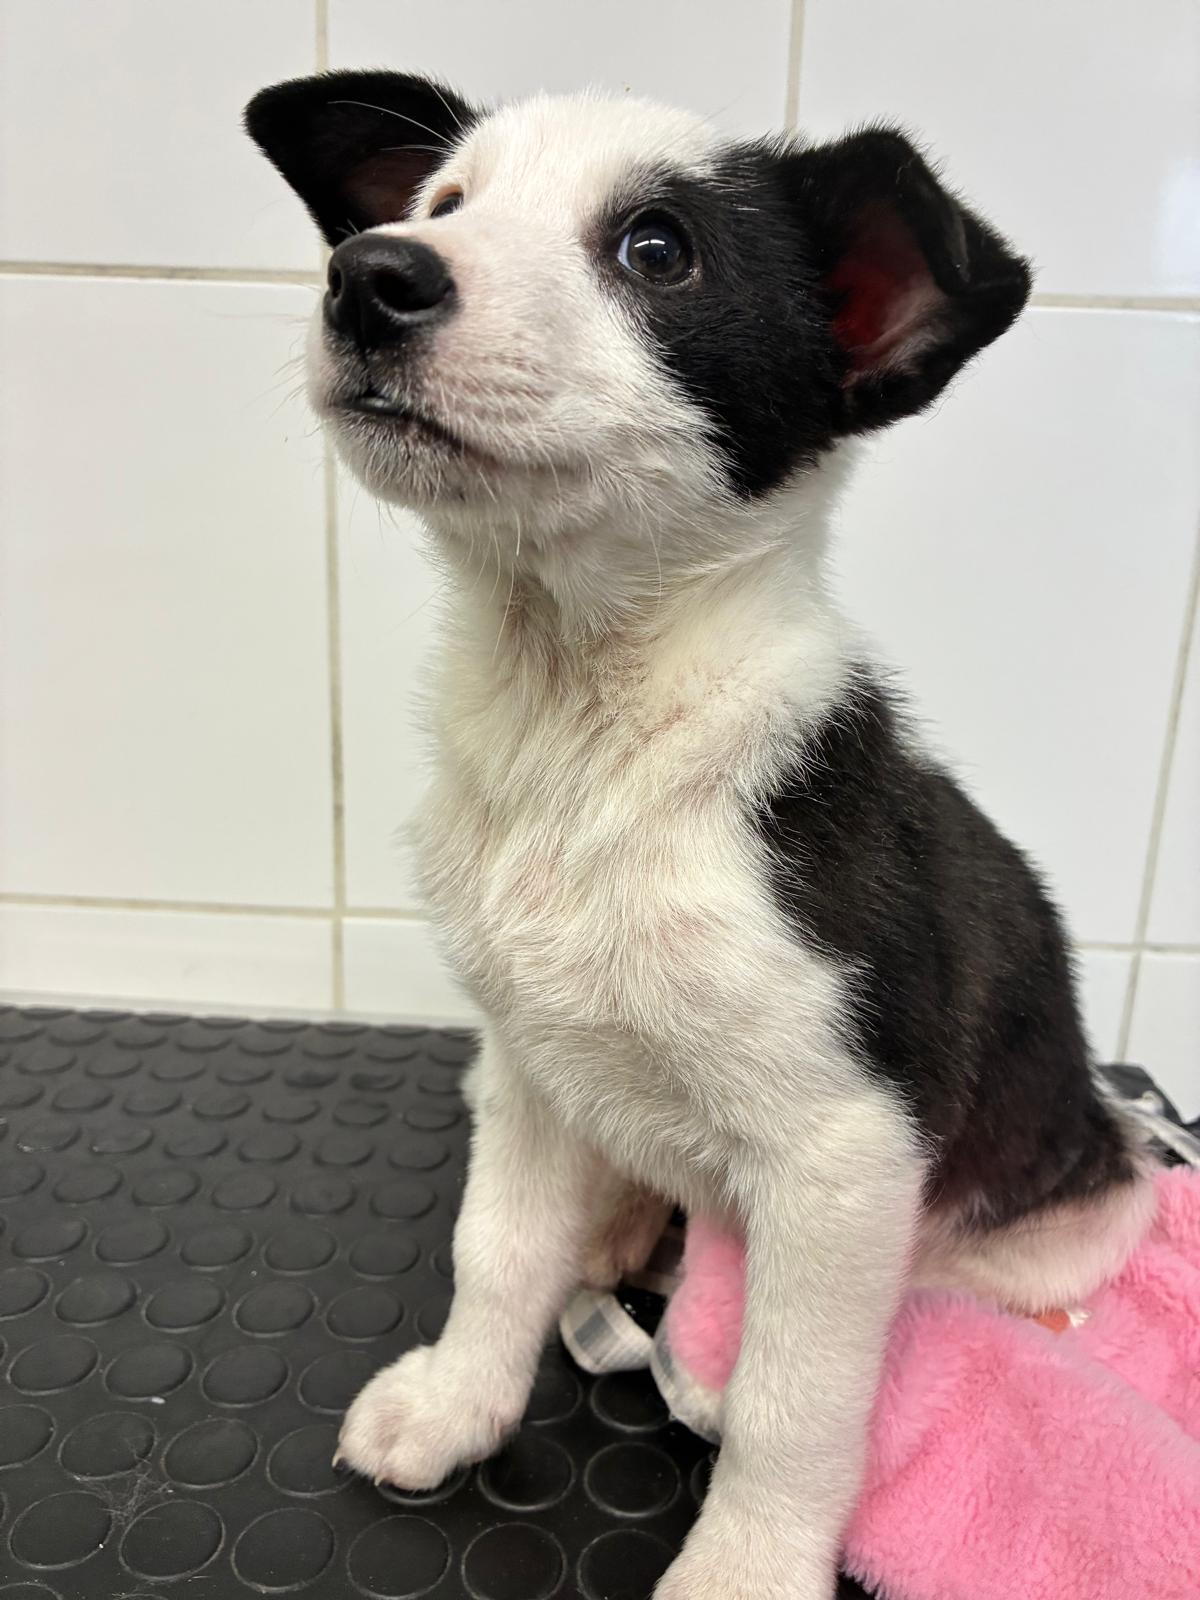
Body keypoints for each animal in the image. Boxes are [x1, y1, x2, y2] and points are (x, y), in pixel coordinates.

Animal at [246, 72, 1155, 1599]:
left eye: (658, 252)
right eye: (444, 204)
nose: (370, 277)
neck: (591, 736)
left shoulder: (845, 1155)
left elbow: (794, 1402)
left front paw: (746, 1568)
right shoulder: (529, 1066)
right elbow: (497, 1248)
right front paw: (460, 1400)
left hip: (1062, 1206)